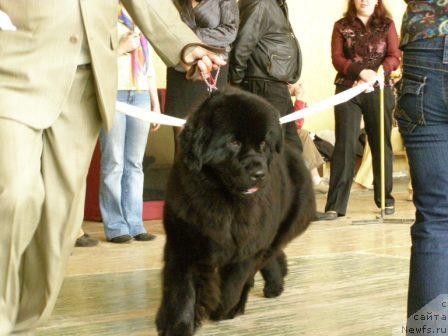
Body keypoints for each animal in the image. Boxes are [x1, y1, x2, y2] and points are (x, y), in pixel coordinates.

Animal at [157, 89, 316, 336]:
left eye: (263, 144)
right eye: (233, 142)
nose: (259, 173)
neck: (225, 202)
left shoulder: (247, 247)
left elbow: (232, 284)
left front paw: (222, 309)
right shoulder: (183, 242)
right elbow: (181, 291)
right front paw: (178, 326)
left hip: (282, 227)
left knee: (265, 259)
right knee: (270, 257)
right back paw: (276, 283)